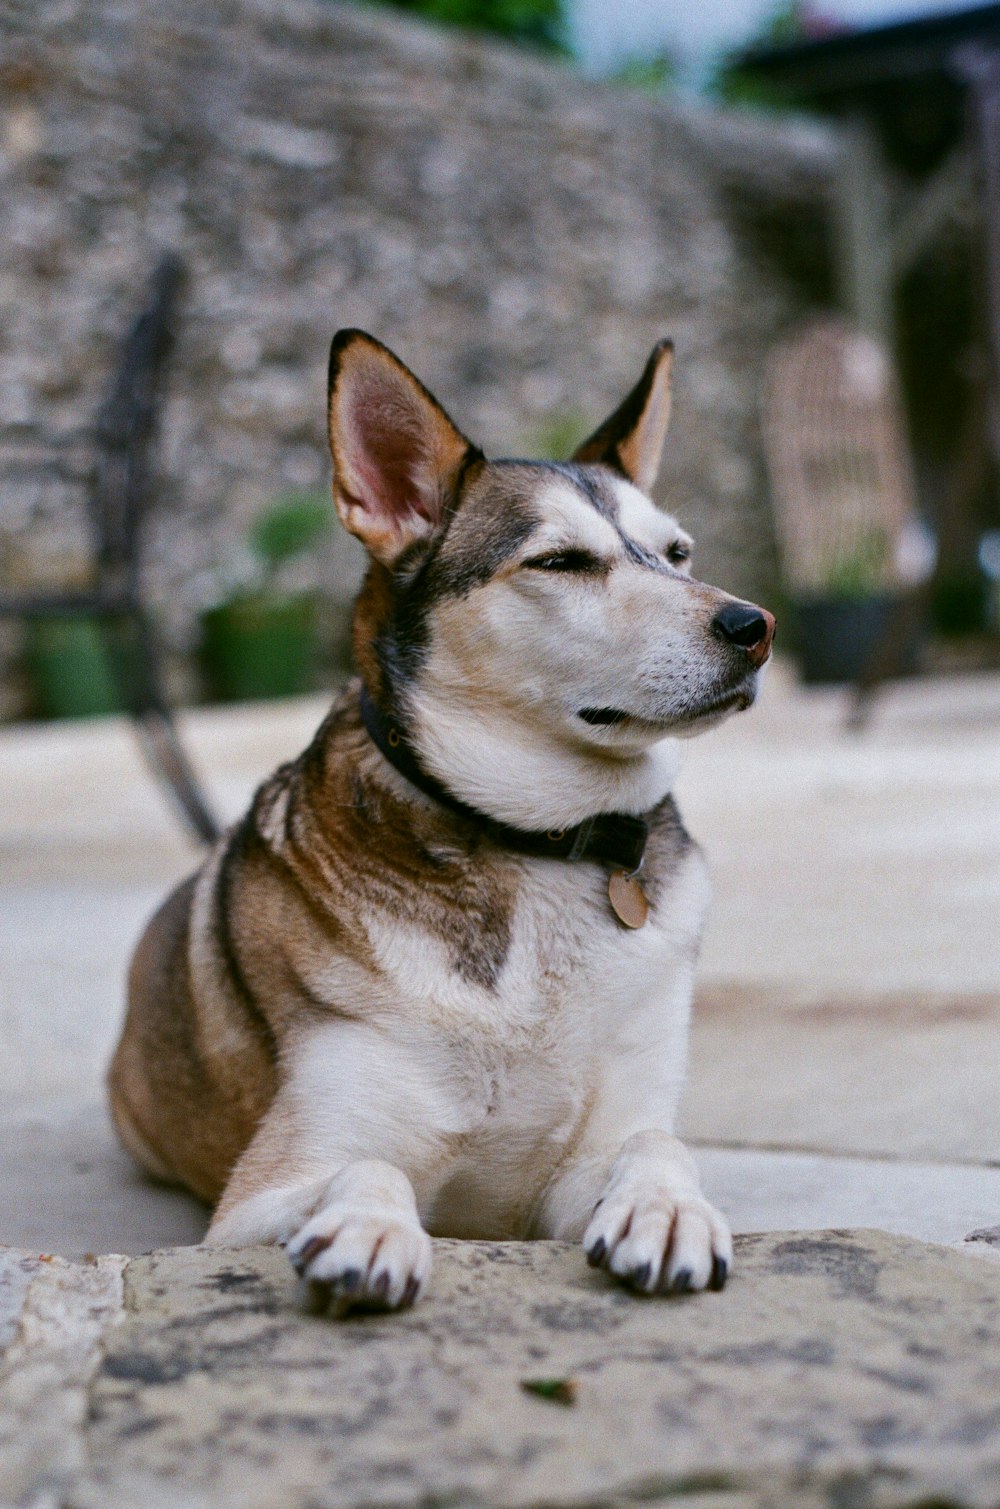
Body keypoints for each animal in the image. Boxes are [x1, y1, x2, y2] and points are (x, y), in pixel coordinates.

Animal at [113, 330, 778, 1309]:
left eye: (678, 552)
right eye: (560, 561)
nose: (753, 625)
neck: (538, 845)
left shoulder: (578, 1164)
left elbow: (656, 1142)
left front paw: (667, 1209)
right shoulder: (256, 1199)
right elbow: (369, 1164)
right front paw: (365, 1224)